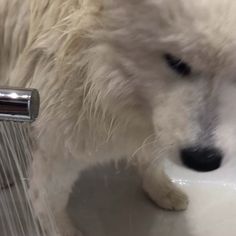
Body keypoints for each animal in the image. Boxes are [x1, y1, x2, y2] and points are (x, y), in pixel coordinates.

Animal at [0, 0, 235, 235]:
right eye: (176, 62)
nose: (203, 160)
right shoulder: (59, 147)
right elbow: (47, 202)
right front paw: (63, 230)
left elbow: (151, 160)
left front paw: (162, 190)